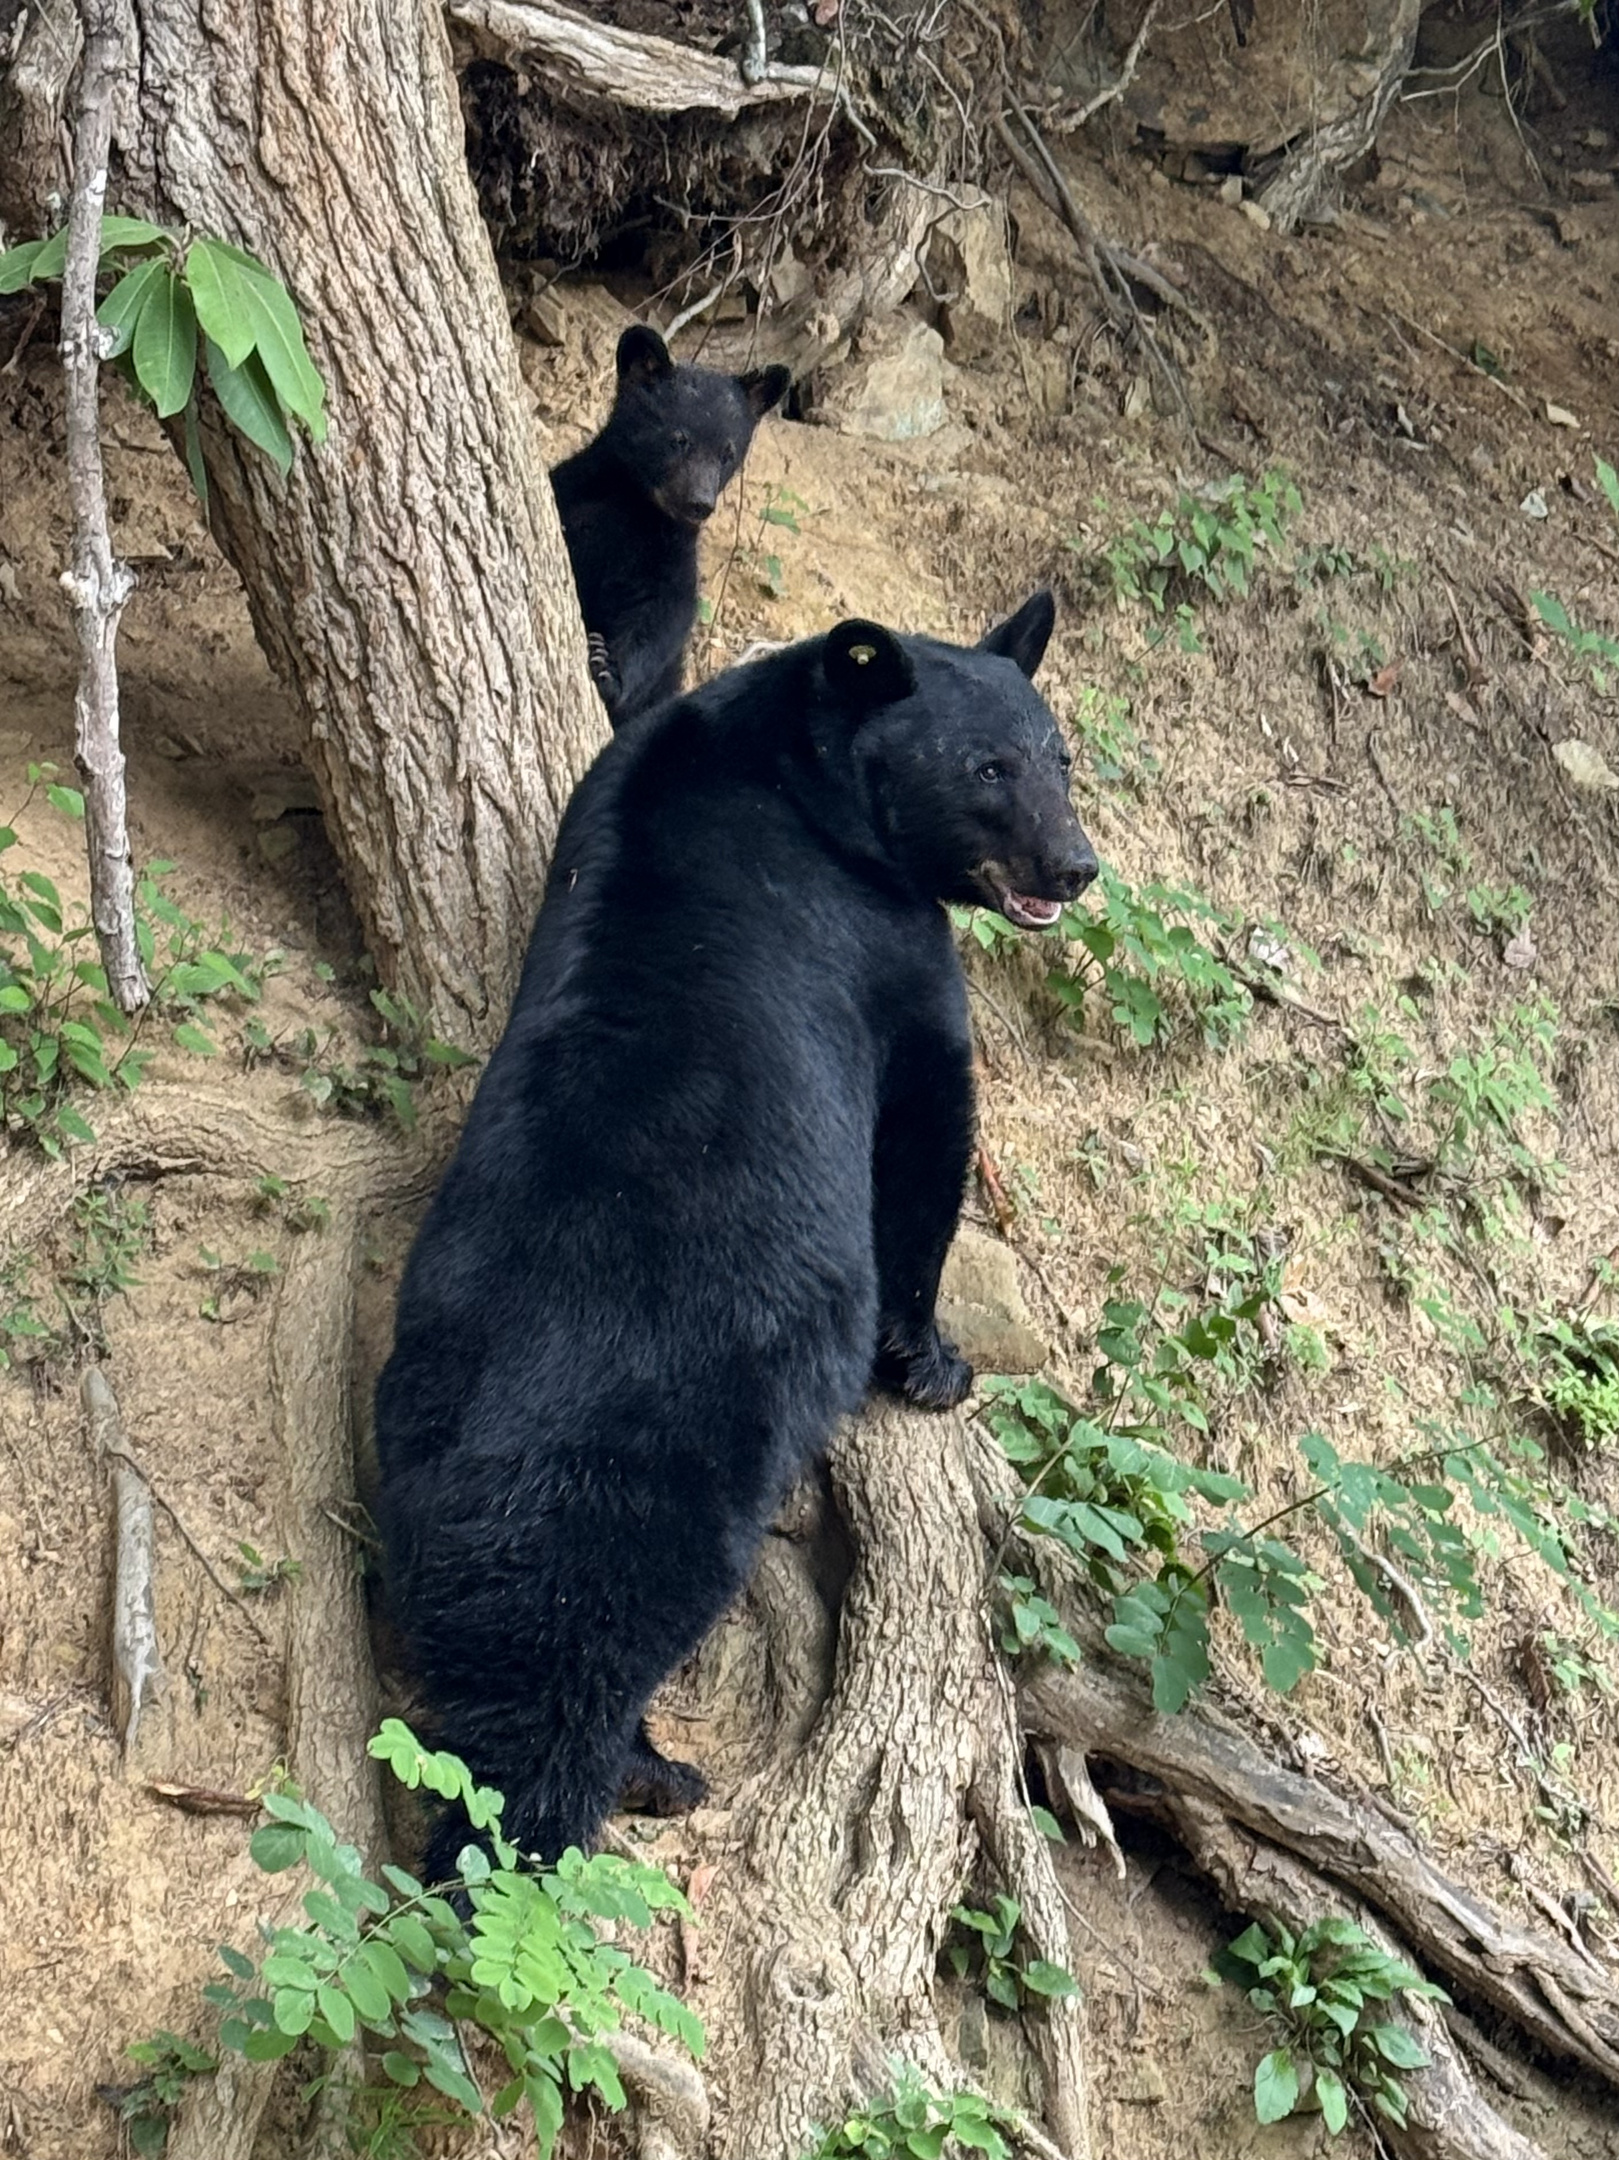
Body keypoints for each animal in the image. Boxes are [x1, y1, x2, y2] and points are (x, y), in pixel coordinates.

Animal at [372, 590, 1098, 1875]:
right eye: (988, 768)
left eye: (1058, 756)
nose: (1073, 866)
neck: (794, 770)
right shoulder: (879, 939)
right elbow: (923, 1127)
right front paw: (931, 1363)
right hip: (655, 1472)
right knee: (570, 1678)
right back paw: (632, 1779)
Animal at [551, 324, 791, 729]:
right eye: (679, 439)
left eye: (728, 453)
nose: (700, 503)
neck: (636, 504)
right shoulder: (572, 496)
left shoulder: (669, 553)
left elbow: (662, 616)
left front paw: (607, 669)